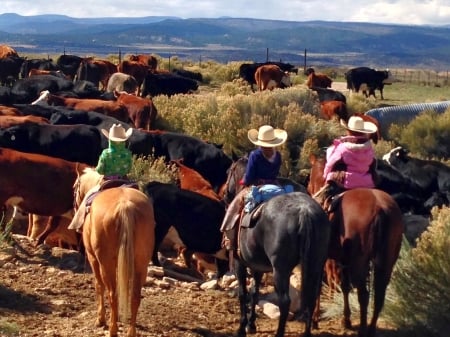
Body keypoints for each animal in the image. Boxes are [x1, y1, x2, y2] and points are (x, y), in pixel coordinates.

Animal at [74, 168, 156, 336]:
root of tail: (125, 206)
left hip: (106, 264)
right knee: (134, 297)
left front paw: (101, 319)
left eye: (74, 188)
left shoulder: (93, 259)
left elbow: (98, 285)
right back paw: (131, 332)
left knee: (113, 294)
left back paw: (112, 330)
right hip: (140, 264)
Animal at [308, 154, 406, 334]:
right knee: (379, 295)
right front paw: (345, 320)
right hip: (386, 262)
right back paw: (371, 328)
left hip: (360, 262)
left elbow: (318, 286)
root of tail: (380, 208)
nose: (310, 190)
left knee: (364, 295)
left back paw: (362, 329)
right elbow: (345, 286)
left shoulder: (323, 257)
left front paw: (314, 320)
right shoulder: (343, 260)